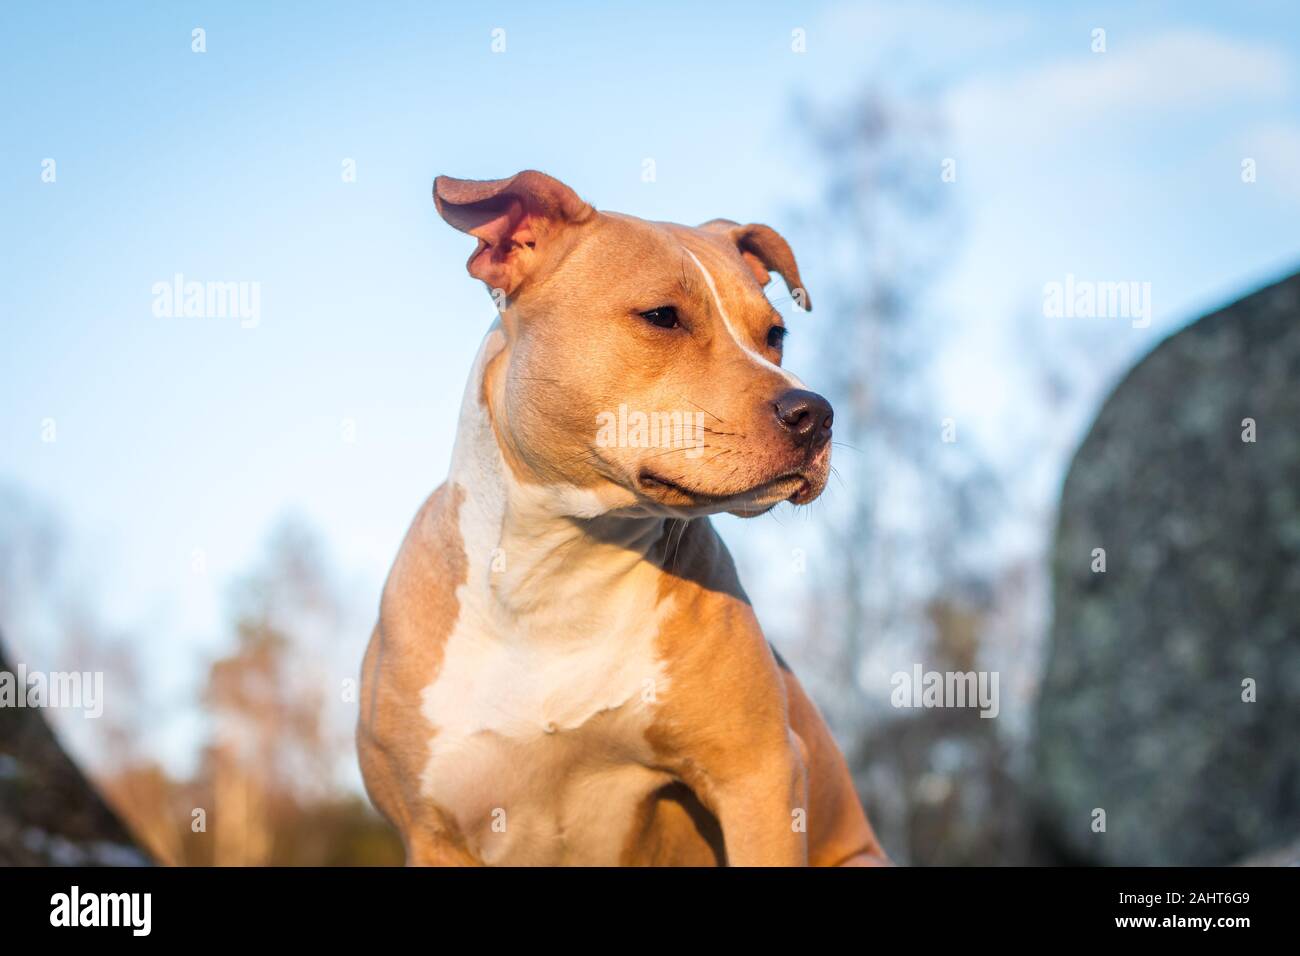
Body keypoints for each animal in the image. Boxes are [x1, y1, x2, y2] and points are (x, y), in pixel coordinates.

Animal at [356, 171, 889, 868]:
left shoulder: (759, 779)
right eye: (662, 317)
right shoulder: (434, 833)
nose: (815, 414)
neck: (560, 575)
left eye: (775, 334)